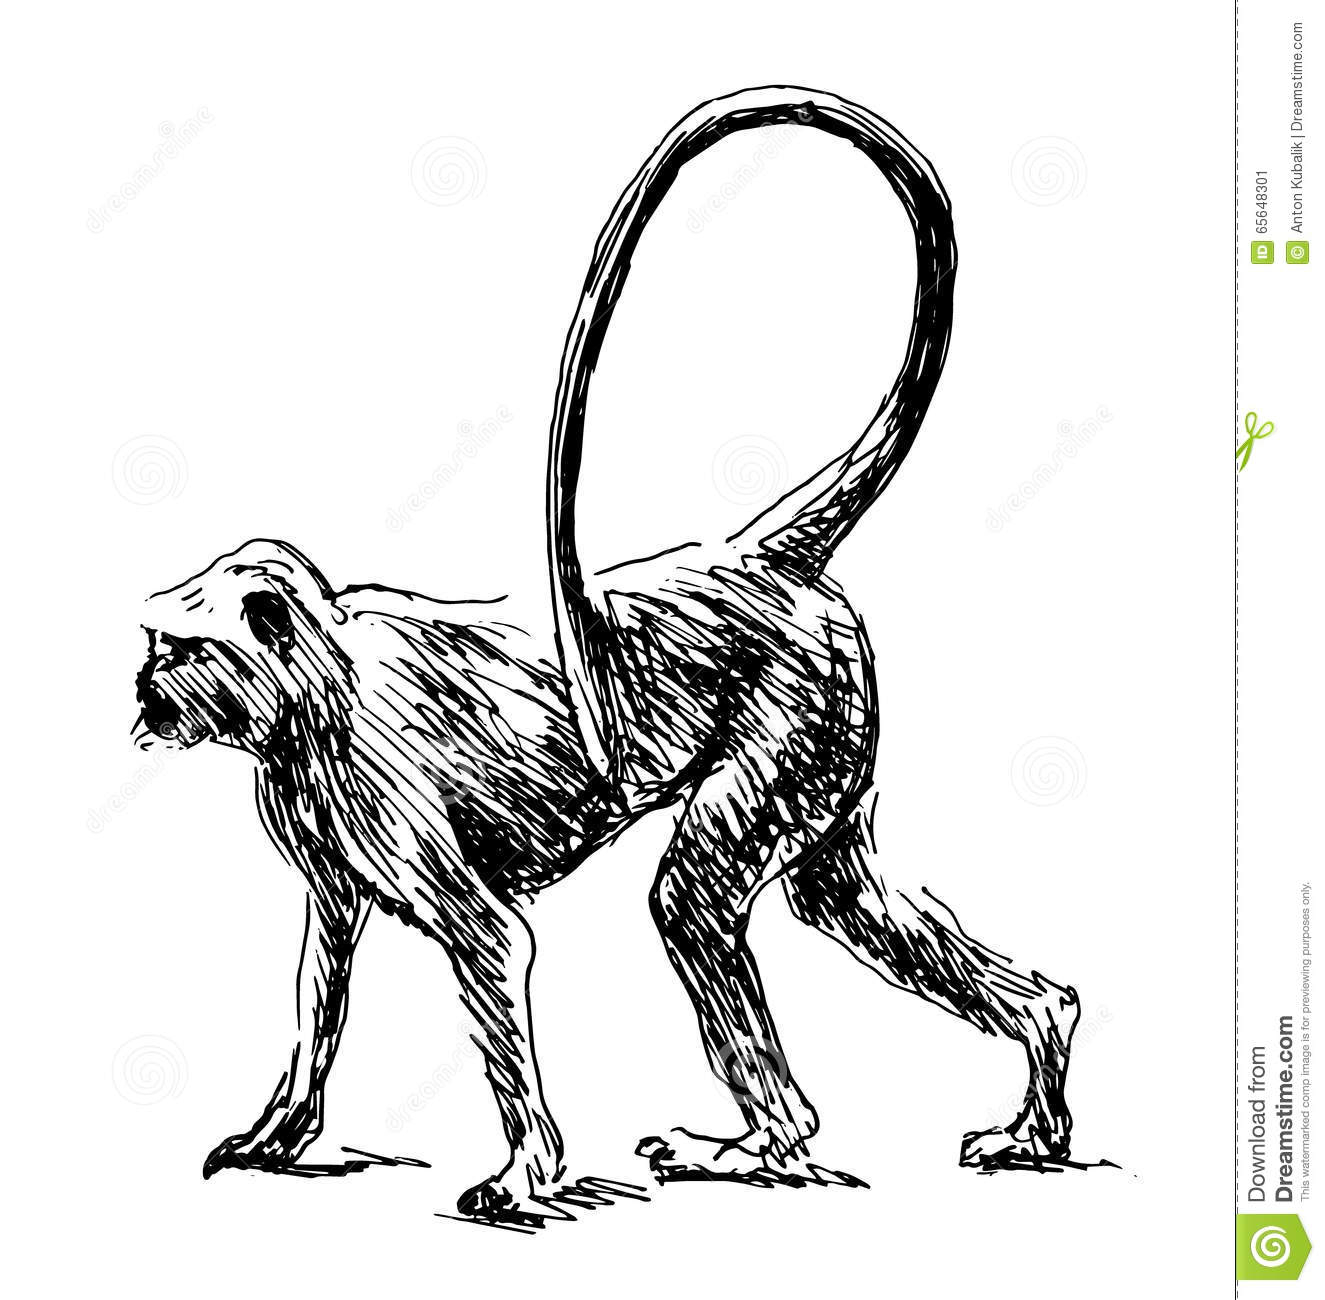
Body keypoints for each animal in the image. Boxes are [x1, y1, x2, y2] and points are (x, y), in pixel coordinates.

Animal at [133, 86, 1082, 1221]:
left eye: (187, 648)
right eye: (158, 643)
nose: (147, 691)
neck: (318, 686)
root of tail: (757, 556)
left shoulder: (393, 807)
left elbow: (495, 951)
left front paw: (523, 1171)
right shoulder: (318, 841)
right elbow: (324, 975)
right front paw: (281, 1132)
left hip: (795, 720)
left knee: (694, 900)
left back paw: (768, 1142)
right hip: (832, 748)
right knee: (837, 899)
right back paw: (1019, 1064)